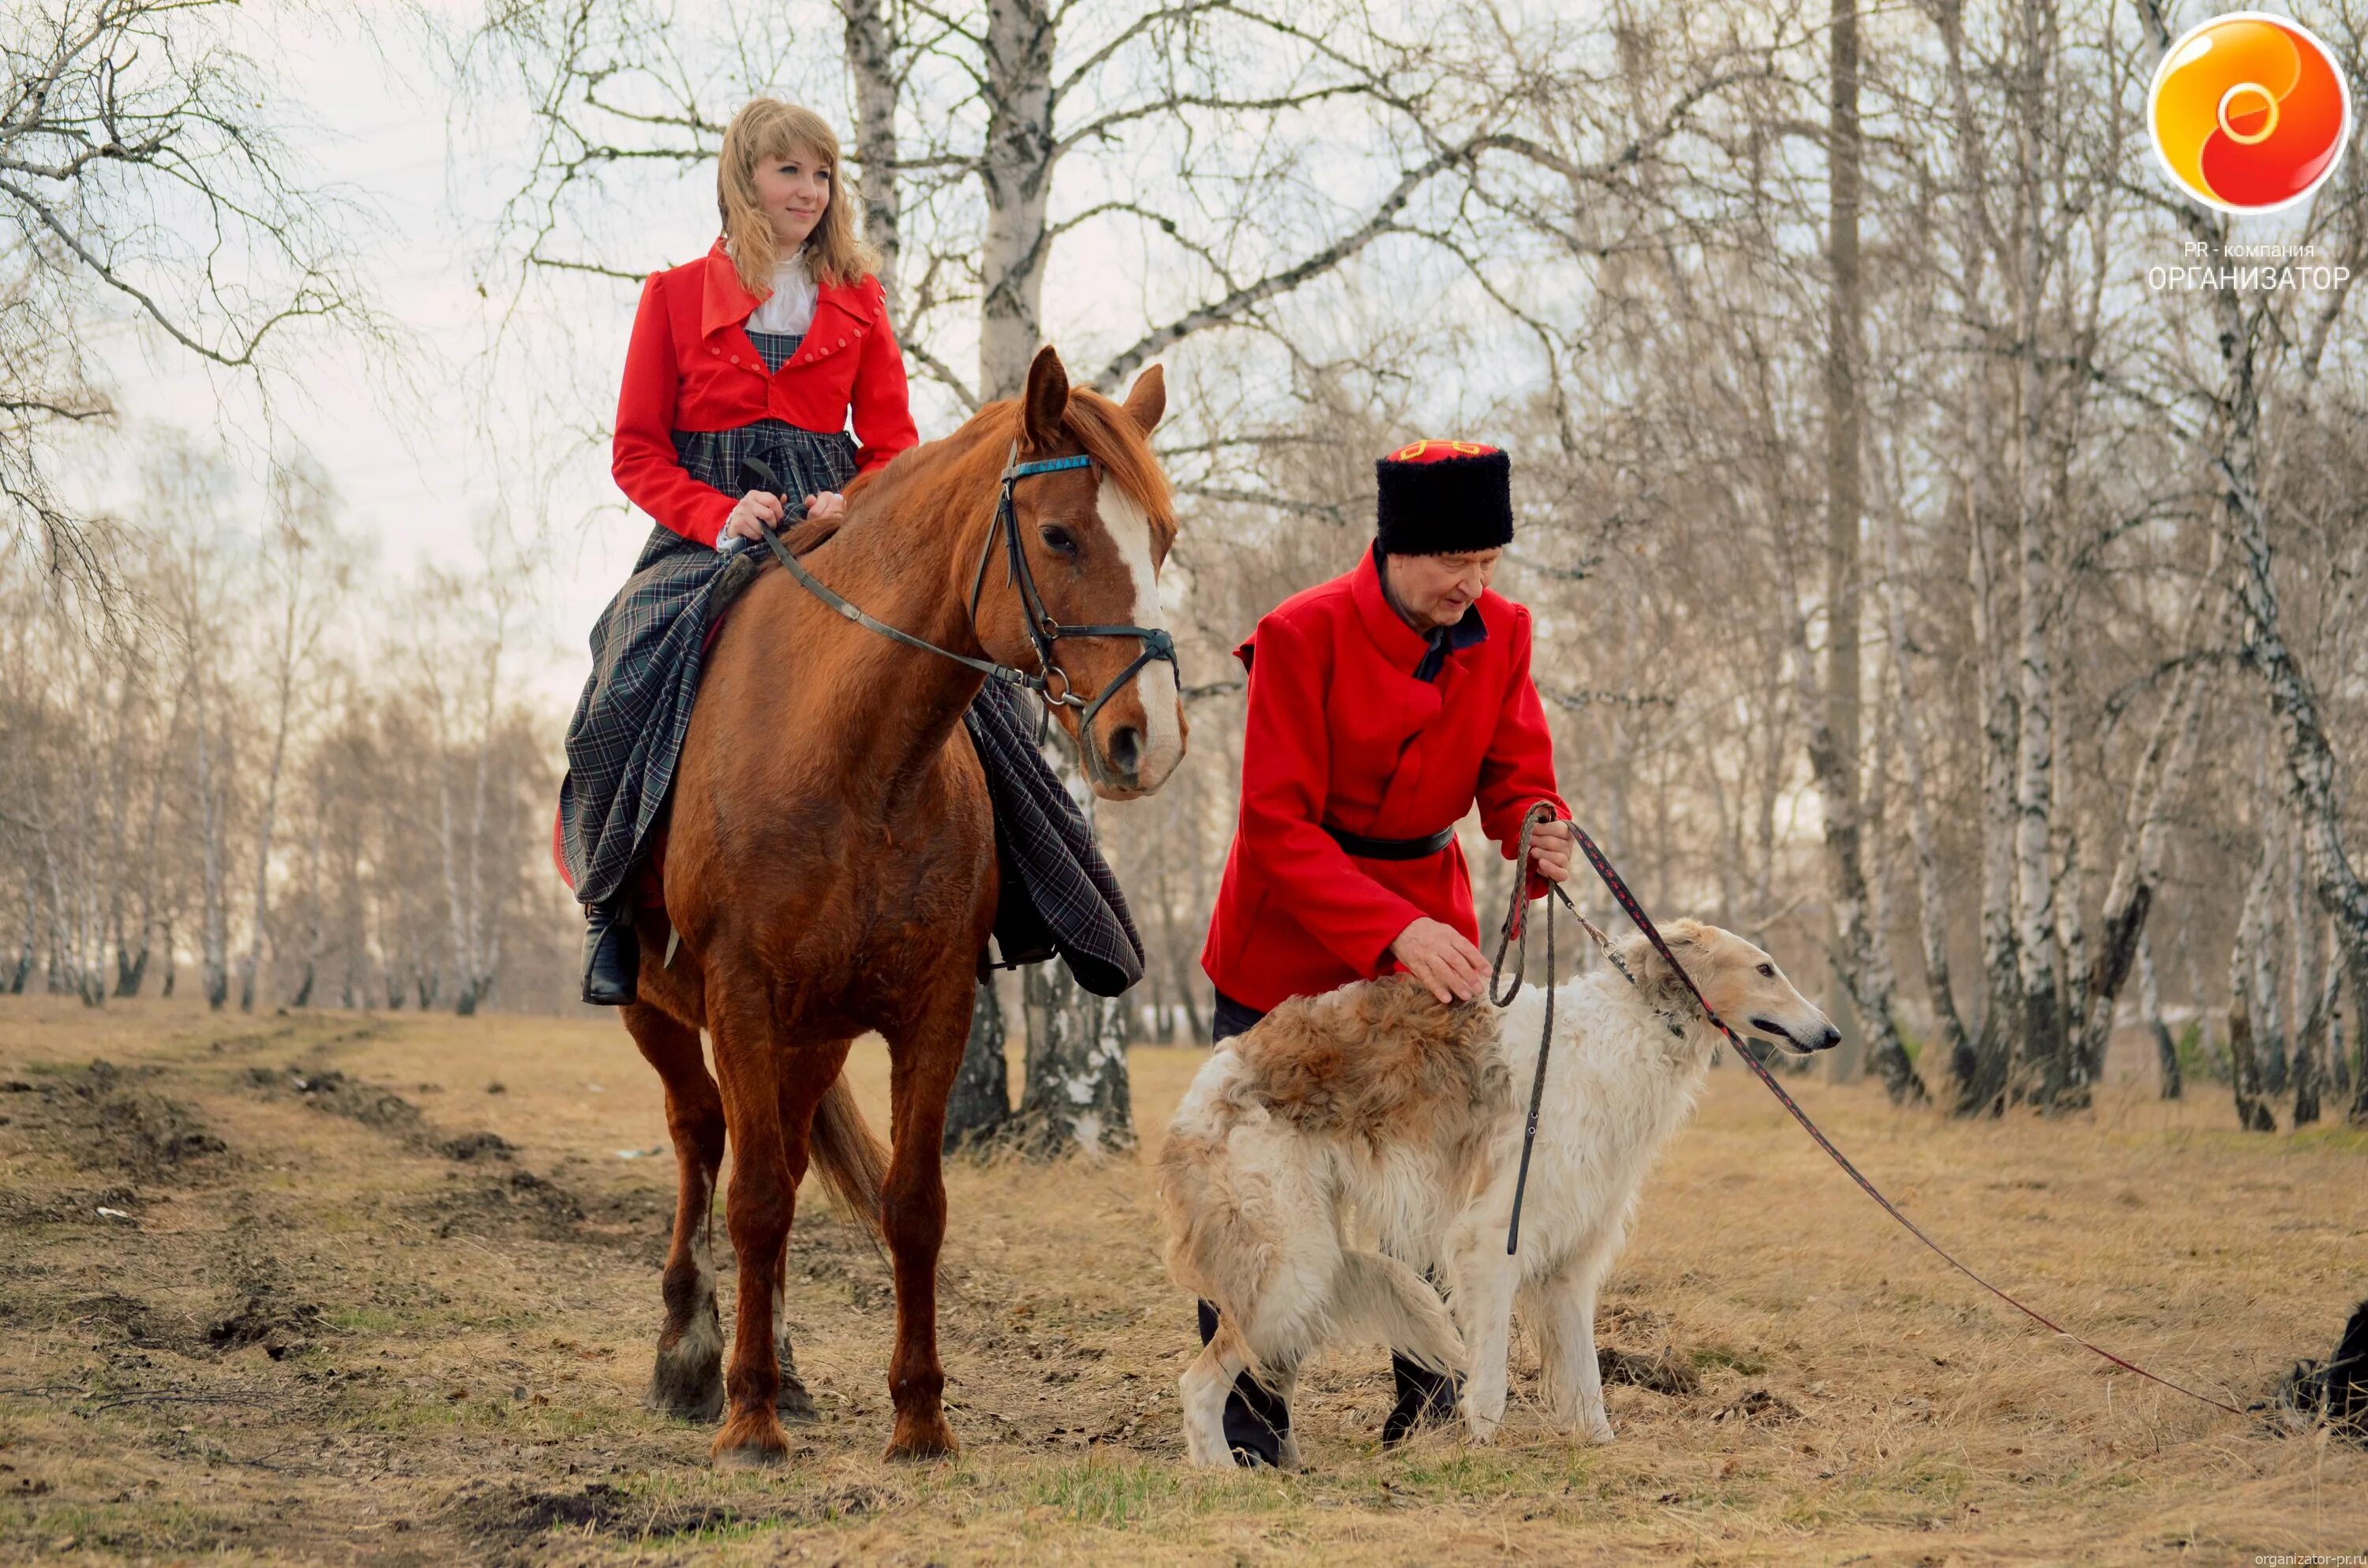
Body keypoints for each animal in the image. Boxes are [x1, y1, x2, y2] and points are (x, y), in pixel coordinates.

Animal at [616, 350, 1179, 1468]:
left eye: (1165, 538)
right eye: (1060, 534)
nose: (1150, 739)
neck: (853, 758)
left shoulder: (933, 1006)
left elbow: (911, 1205)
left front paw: (919, 1416)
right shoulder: (739, 993)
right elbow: (750, 1201)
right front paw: (746, 1421)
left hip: (813, 1034)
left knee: (782, 1159)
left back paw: (782, 1365)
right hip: (657, 1006)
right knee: (702, 1139)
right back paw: (693, 1353)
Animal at [1156, 914, 1838, 1468]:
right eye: (1766, 967)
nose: (1830, 1034)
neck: (1625, 1029)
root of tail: (1205, 1086)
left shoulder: (1571, 1259)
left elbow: (1587, 1379)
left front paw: (1600, 1446)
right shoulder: (1492, 1241)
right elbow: (1490, 1380)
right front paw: (1478, 1450)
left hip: (1303, 1259)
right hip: (1291, 1260)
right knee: (1198, 1382)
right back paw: (1222, 1471)